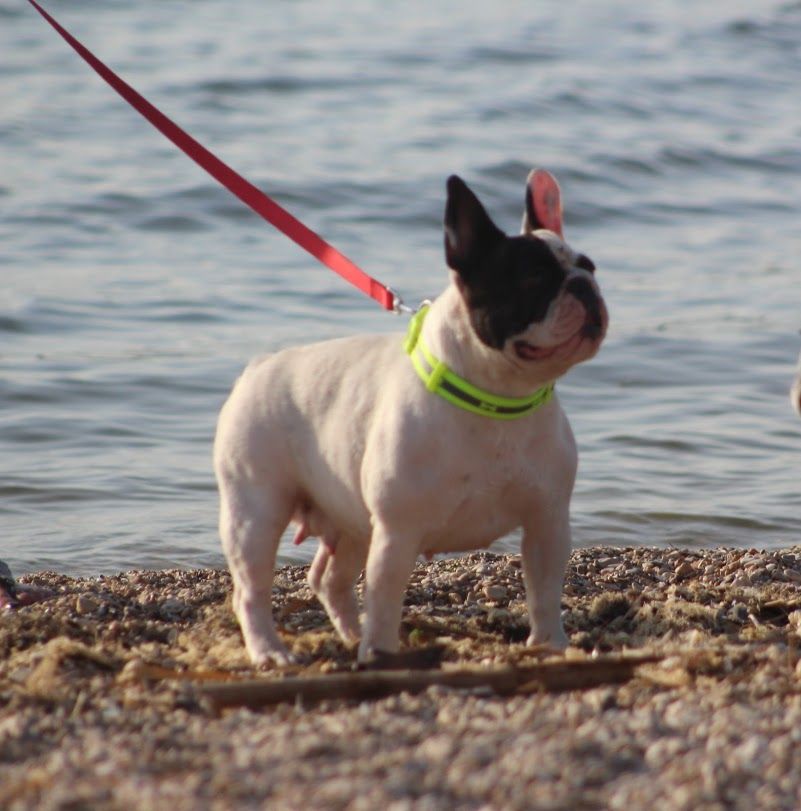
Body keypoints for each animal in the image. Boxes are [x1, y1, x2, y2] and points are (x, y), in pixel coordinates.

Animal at [212, 171, 608, 668]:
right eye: (534, 278)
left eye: (590, 268)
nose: (582, 285)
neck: (497, 399)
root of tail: (259, 366)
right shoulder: (397, 533)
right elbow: (385, 597)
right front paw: (381, 651)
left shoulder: (547, 520)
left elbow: (545, 590)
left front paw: (550, 644)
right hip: (257, 512)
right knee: (251, 590)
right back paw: (272, 650)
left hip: (350, 519)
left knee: (329, 579)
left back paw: (351, 636)